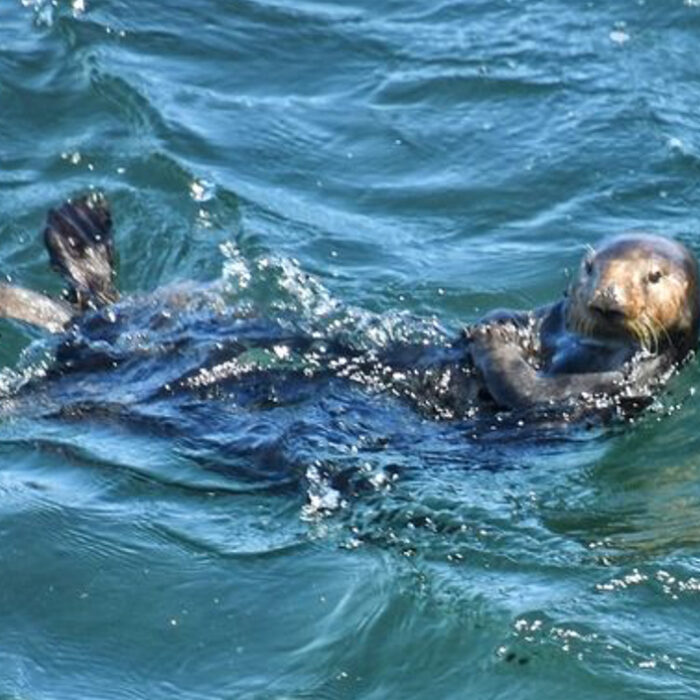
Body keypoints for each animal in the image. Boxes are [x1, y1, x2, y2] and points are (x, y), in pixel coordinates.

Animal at [0, 196, 697, 422]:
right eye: (591, 269)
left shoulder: (612, 385)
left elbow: (530, 392)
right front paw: (499, 322)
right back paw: (81, 235)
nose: (607, 296)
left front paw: (492, 339)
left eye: (654, 276)